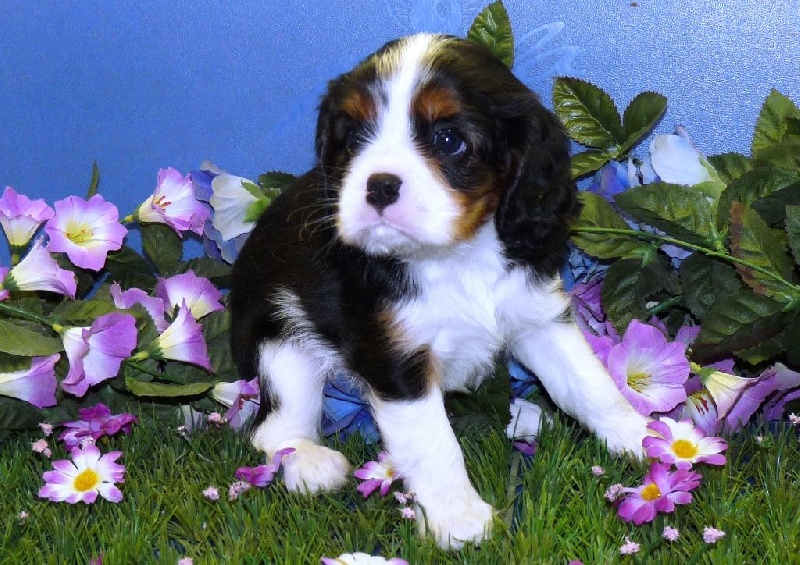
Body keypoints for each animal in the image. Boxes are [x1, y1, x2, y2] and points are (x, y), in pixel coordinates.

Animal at [229, 33, 649, 549]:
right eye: (353, 137)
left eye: (448, 140)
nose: (379, 186)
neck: (454, 256)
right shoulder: (396, 360)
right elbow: (433, 441)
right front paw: (458, 517)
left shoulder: (540, 319)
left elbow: (590, 386)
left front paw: (649, 438)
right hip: (282, 344)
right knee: (273, 427)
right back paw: (309, 461)